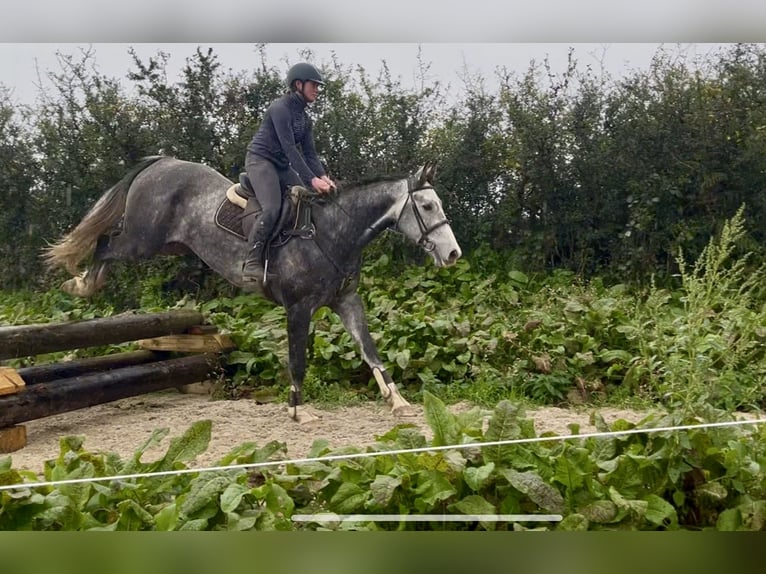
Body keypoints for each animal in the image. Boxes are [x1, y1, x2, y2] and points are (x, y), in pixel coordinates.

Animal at [42, 156, 462, 423]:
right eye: (426, 206)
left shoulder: (346, 300)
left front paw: (399, 401)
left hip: (165, 244)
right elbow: (297, 360)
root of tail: (161, 162)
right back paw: (80, 283)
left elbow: (370, 350)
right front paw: (298, 410)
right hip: (141, 241)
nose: (453, 254)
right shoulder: (299, 307)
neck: (333, 232)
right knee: (105, 242)